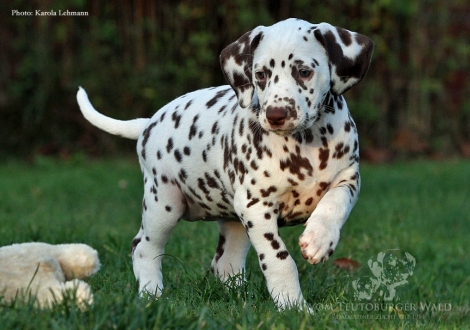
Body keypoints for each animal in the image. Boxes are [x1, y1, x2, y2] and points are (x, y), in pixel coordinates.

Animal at [77, 18, 372, 310]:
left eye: (304, 72)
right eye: (260, 74)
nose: (276, 115)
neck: (306, 142)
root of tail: (149, 122)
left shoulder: (349, 179)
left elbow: (335, 204)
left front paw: (319, 239)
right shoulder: (256, 206)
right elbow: (279, 260)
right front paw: (293, 305)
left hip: (234, 221)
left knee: (224, 262)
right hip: (164, 203)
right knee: (143, 248)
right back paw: (152, 294)